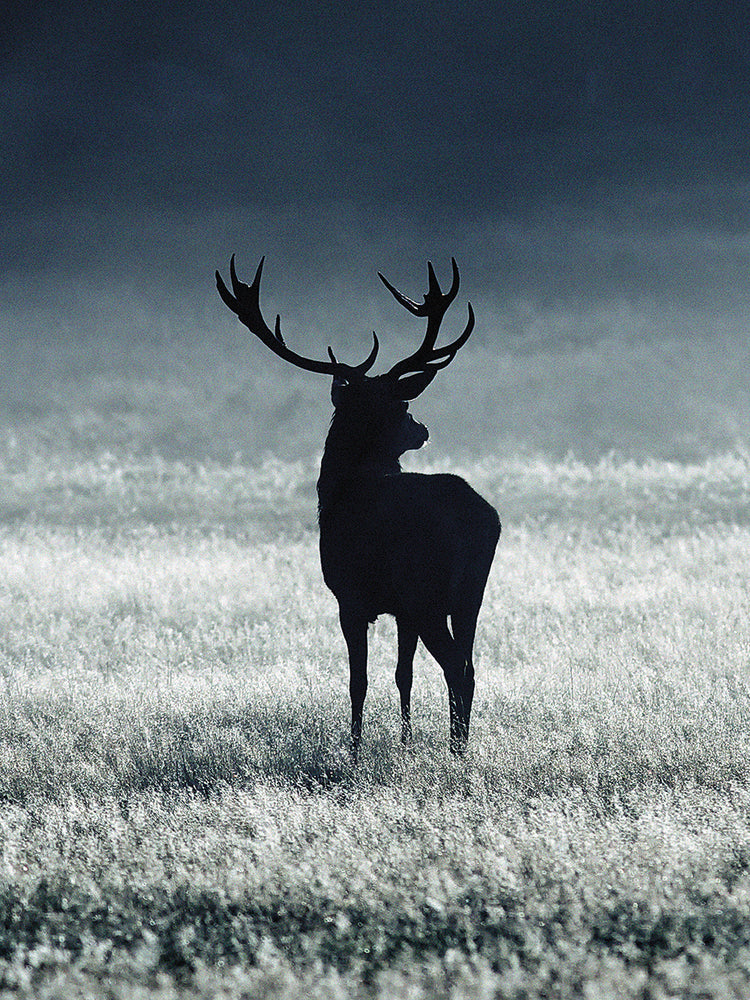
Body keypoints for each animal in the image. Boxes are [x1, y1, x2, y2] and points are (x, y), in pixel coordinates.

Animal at [216, 255, 500, 757]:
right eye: (401, 405)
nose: (421, 429)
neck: (339, 492)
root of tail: (485, 519)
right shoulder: (401, 609)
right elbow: (403, 674)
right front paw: (404, 740)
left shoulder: (349, 596)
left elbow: (358, 680)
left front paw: (353, 749)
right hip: (470, 593)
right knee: (469, 664)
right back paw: (460, 745)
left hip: (427, 591)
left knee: (456, 667)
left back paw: (456, 751)